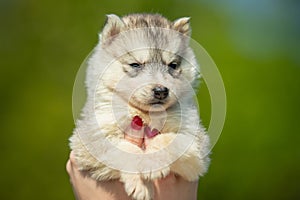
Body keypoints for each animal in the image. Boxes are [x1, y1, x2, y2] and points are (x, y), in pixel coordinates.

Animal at [70, 13, 210, 200]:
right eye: (135, 64)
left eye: (173, 65)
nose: (161, 91)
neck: (144, 114)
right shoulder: (90, 142)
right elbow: (126, 149)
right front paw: (141, 186)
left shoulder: (196, 144)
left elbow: (166, 139)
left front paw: (152, 163)